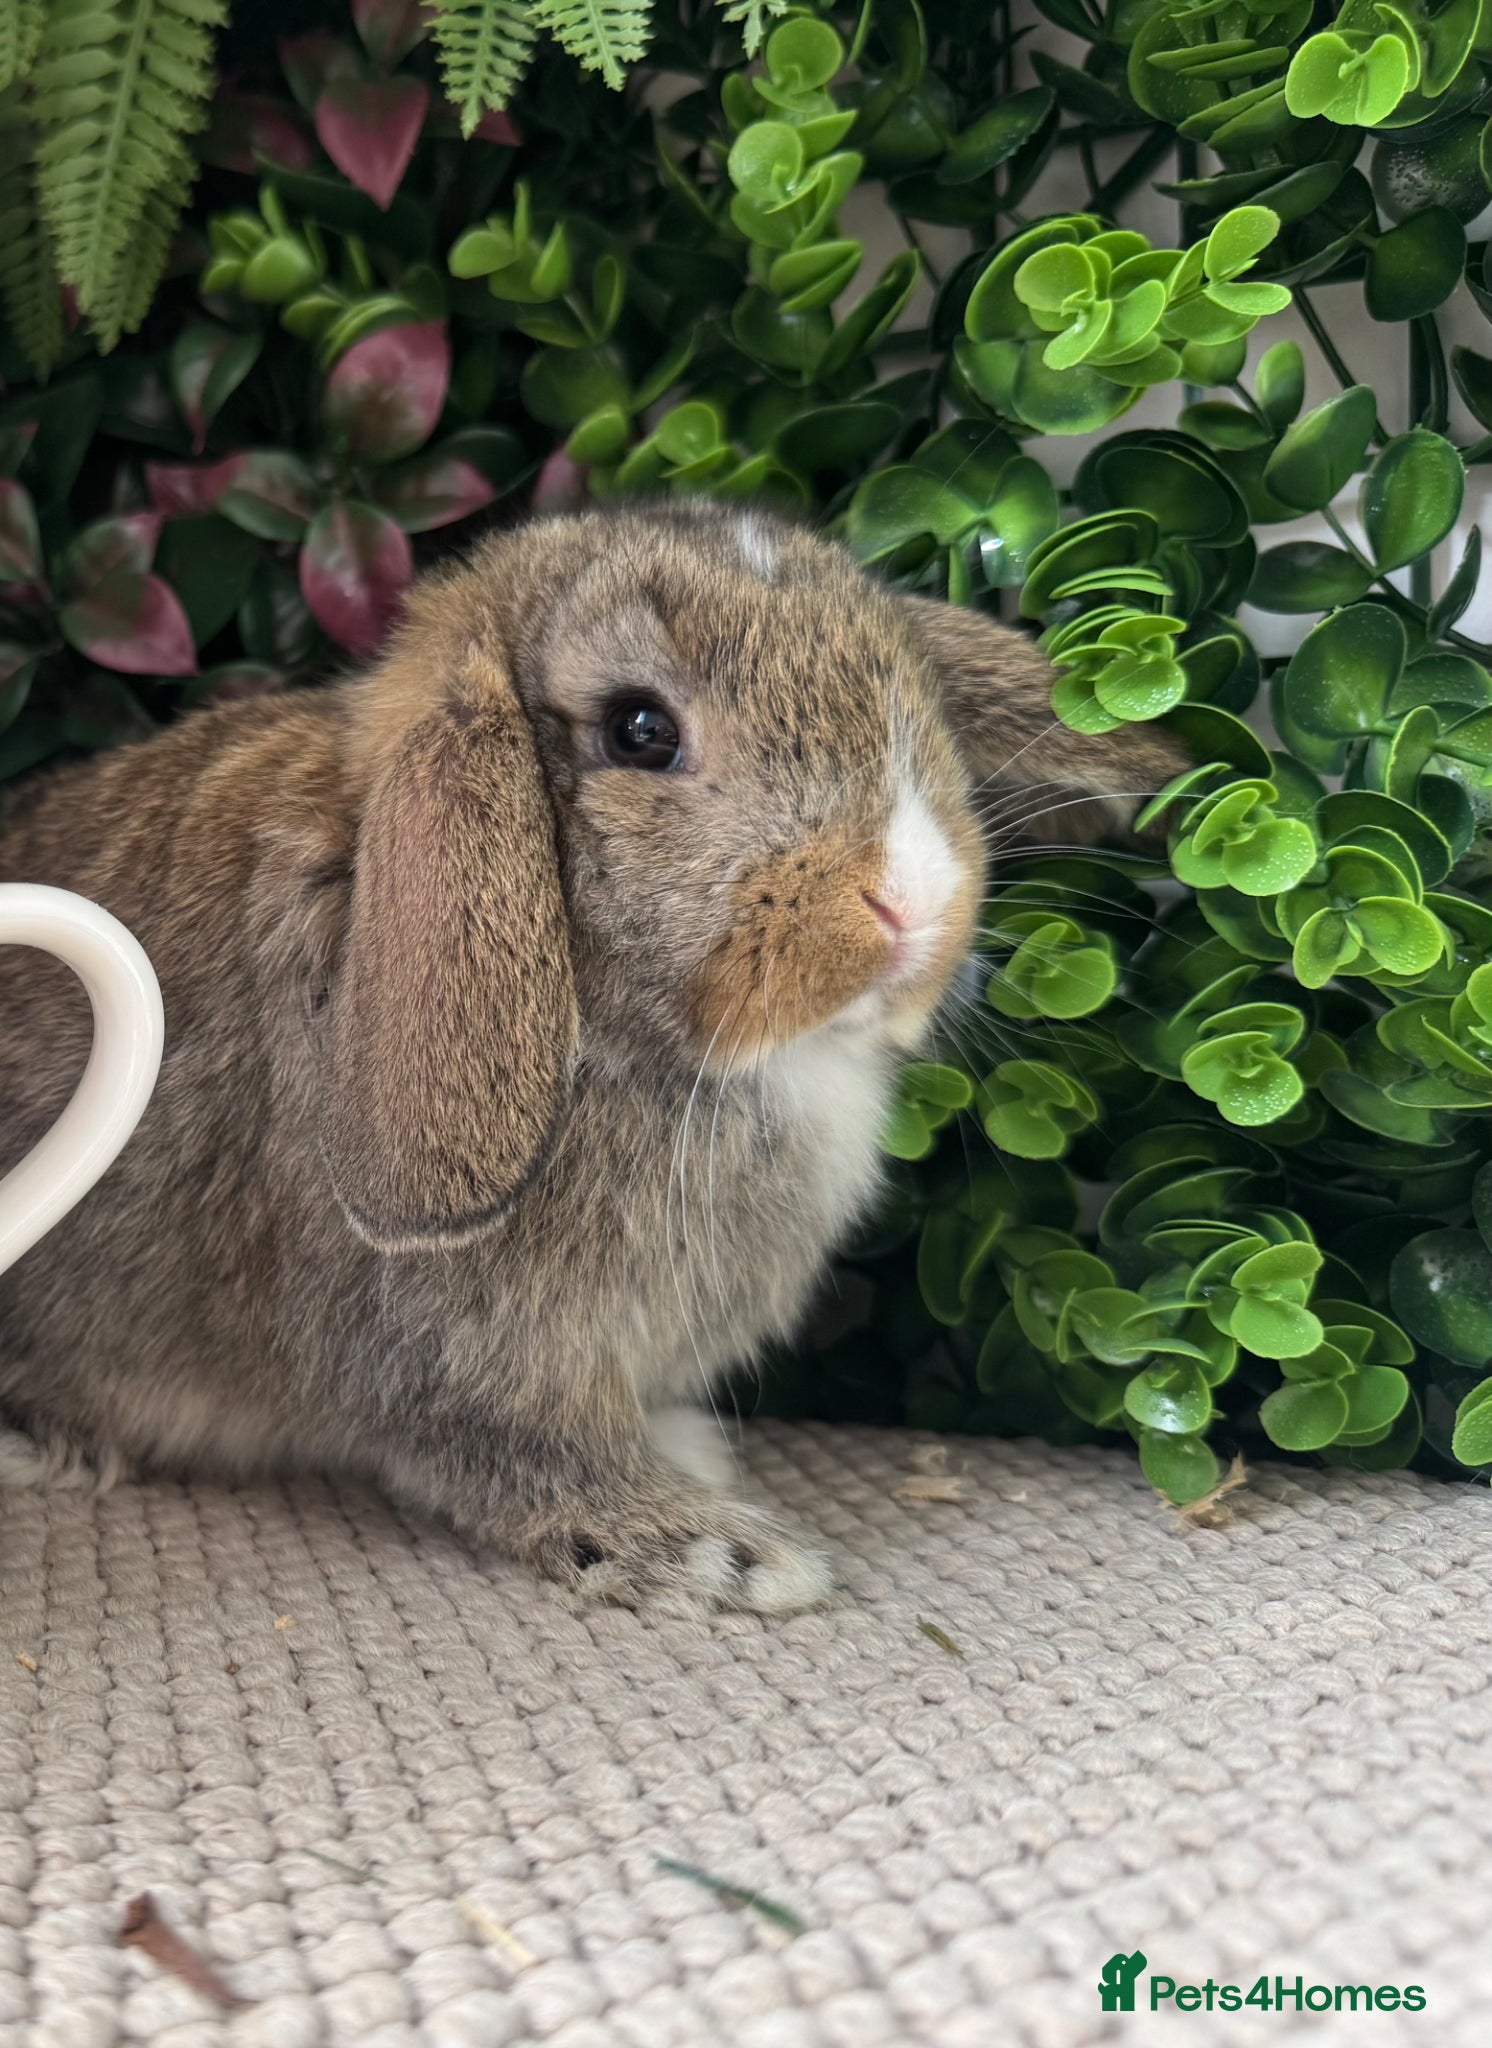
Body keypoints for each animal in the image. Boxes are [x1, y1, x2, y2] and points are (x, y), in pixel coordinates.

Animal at [0, 500, 1183, 1610]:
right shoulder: (457, 1361)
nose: (915, 899)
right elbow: (521, 1457)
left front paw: (695, 1460)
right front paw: (719, 1551)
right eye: (640, 730)